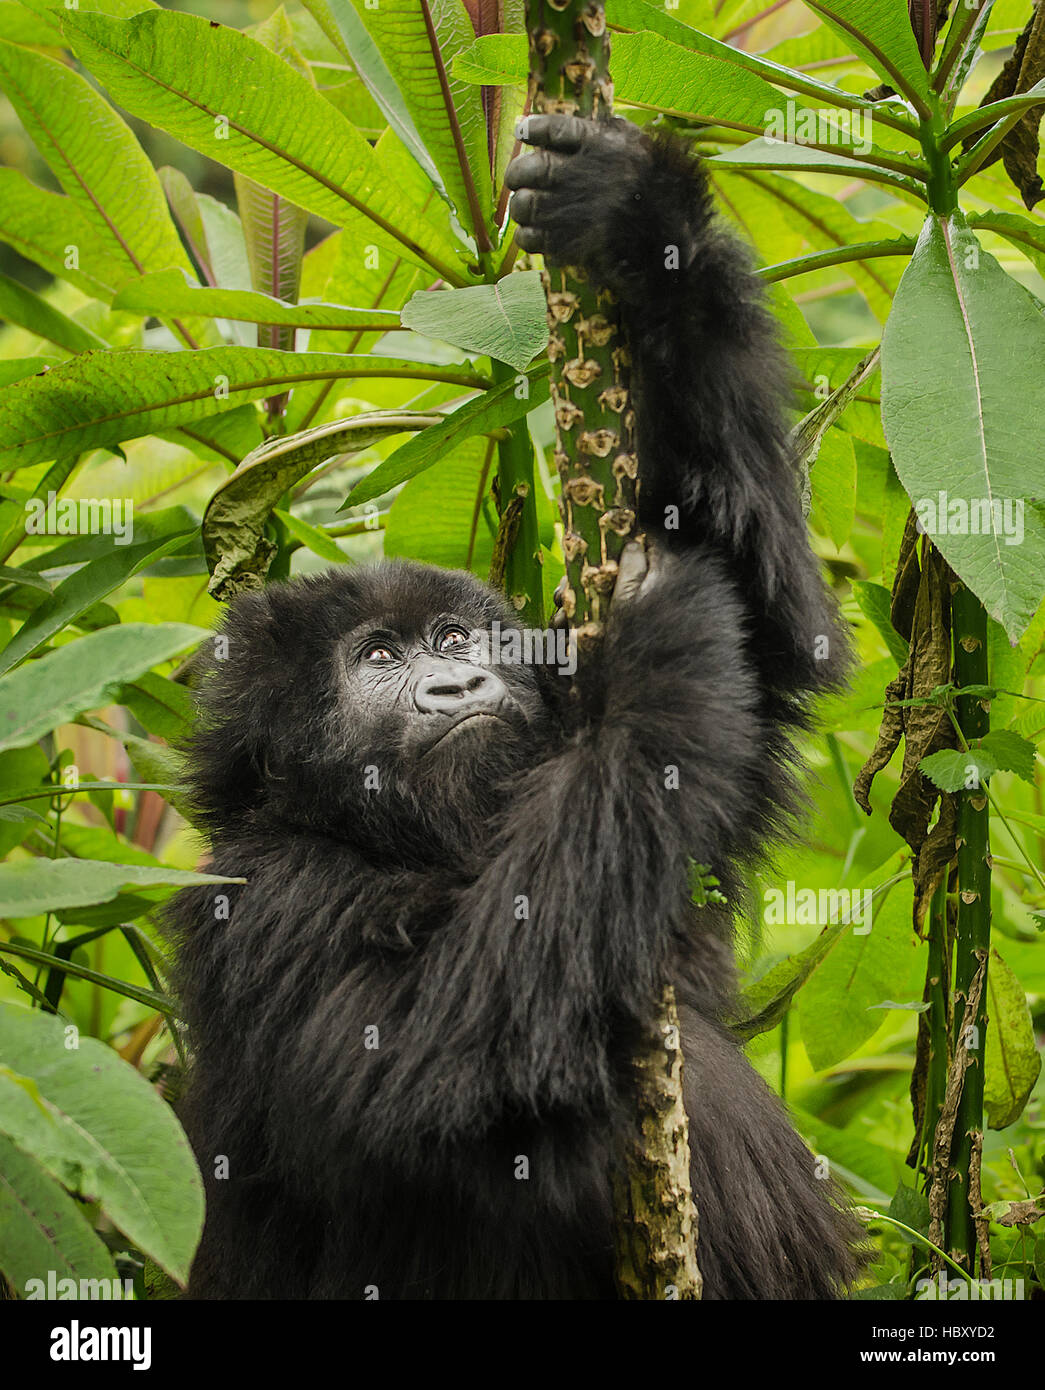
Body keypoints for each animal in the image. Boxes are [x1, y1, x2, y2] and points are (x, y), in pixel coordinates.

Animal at [169, 113, 856, 1295]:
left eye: (452, 636)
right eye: (379, 656)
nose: (455, 681)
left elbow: (769, 627)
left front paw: (631, 216)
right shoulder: (263, 897)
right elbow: (444, 1061)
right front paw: (661, 644)